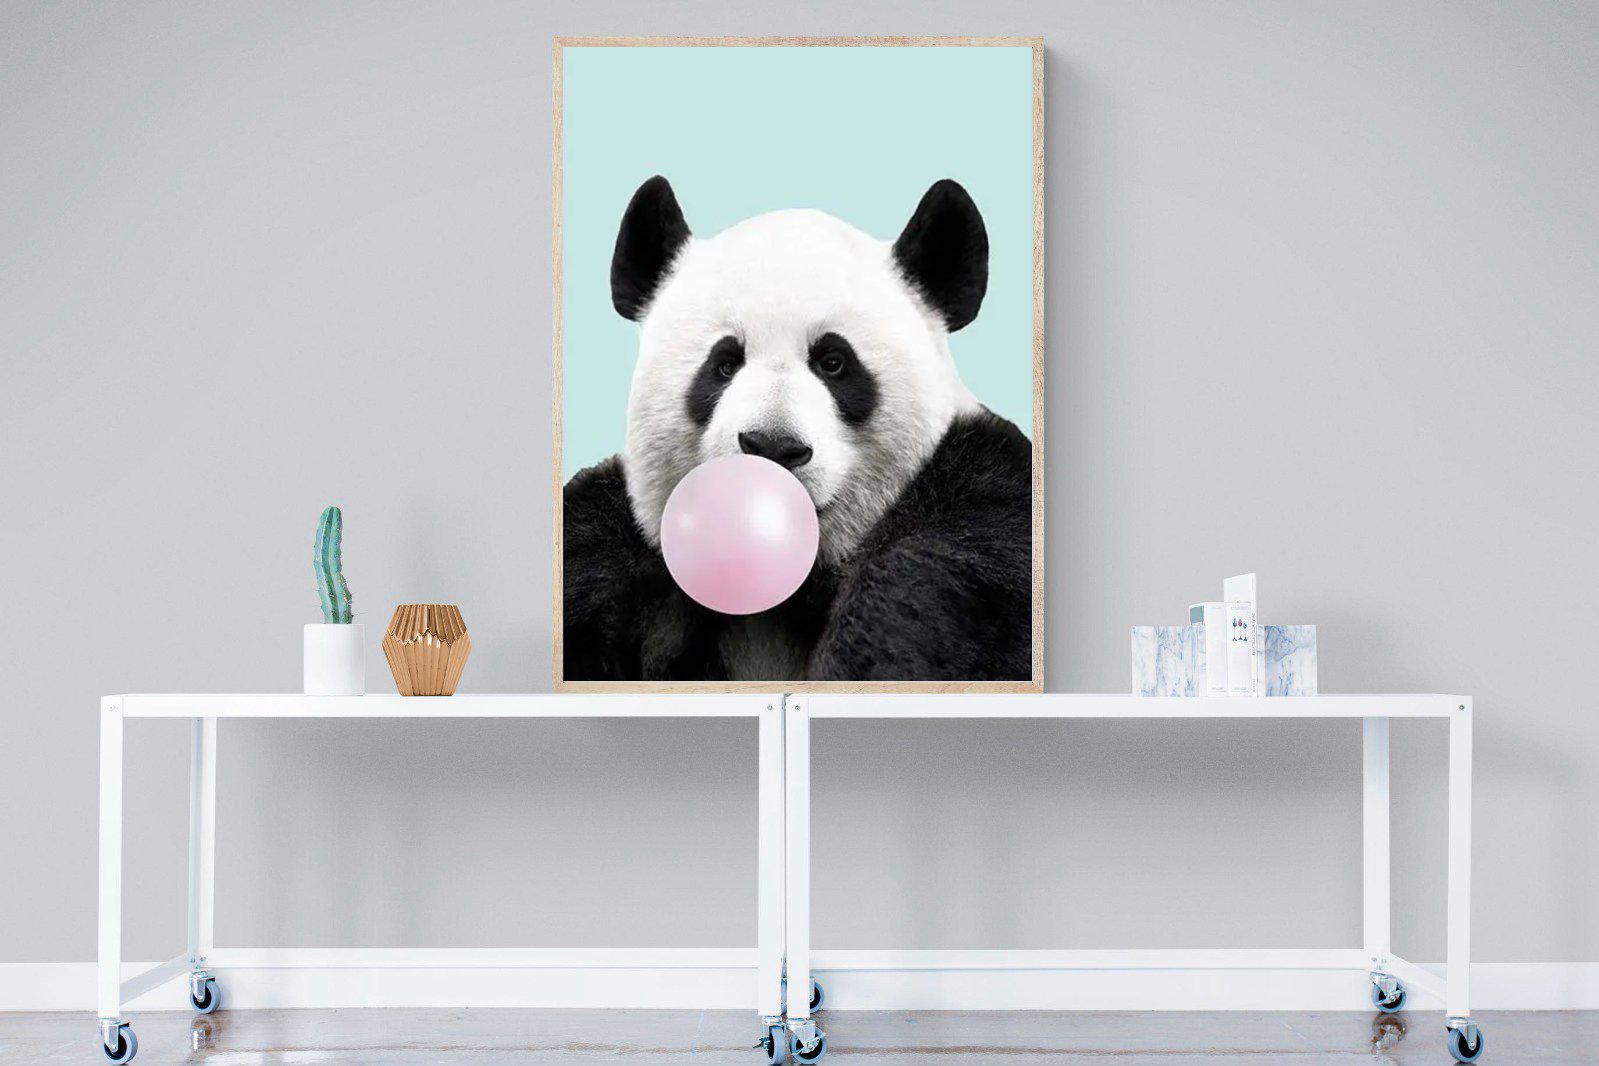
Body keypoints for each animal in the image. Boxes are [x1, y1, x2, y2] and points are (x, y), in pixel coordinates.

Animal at [563, 175, 1032, 682]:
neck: (785, 590)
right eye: (724, 364)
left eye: (834, 362)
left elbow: (930, 593)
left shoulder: (982, 514)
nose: (772, 446)